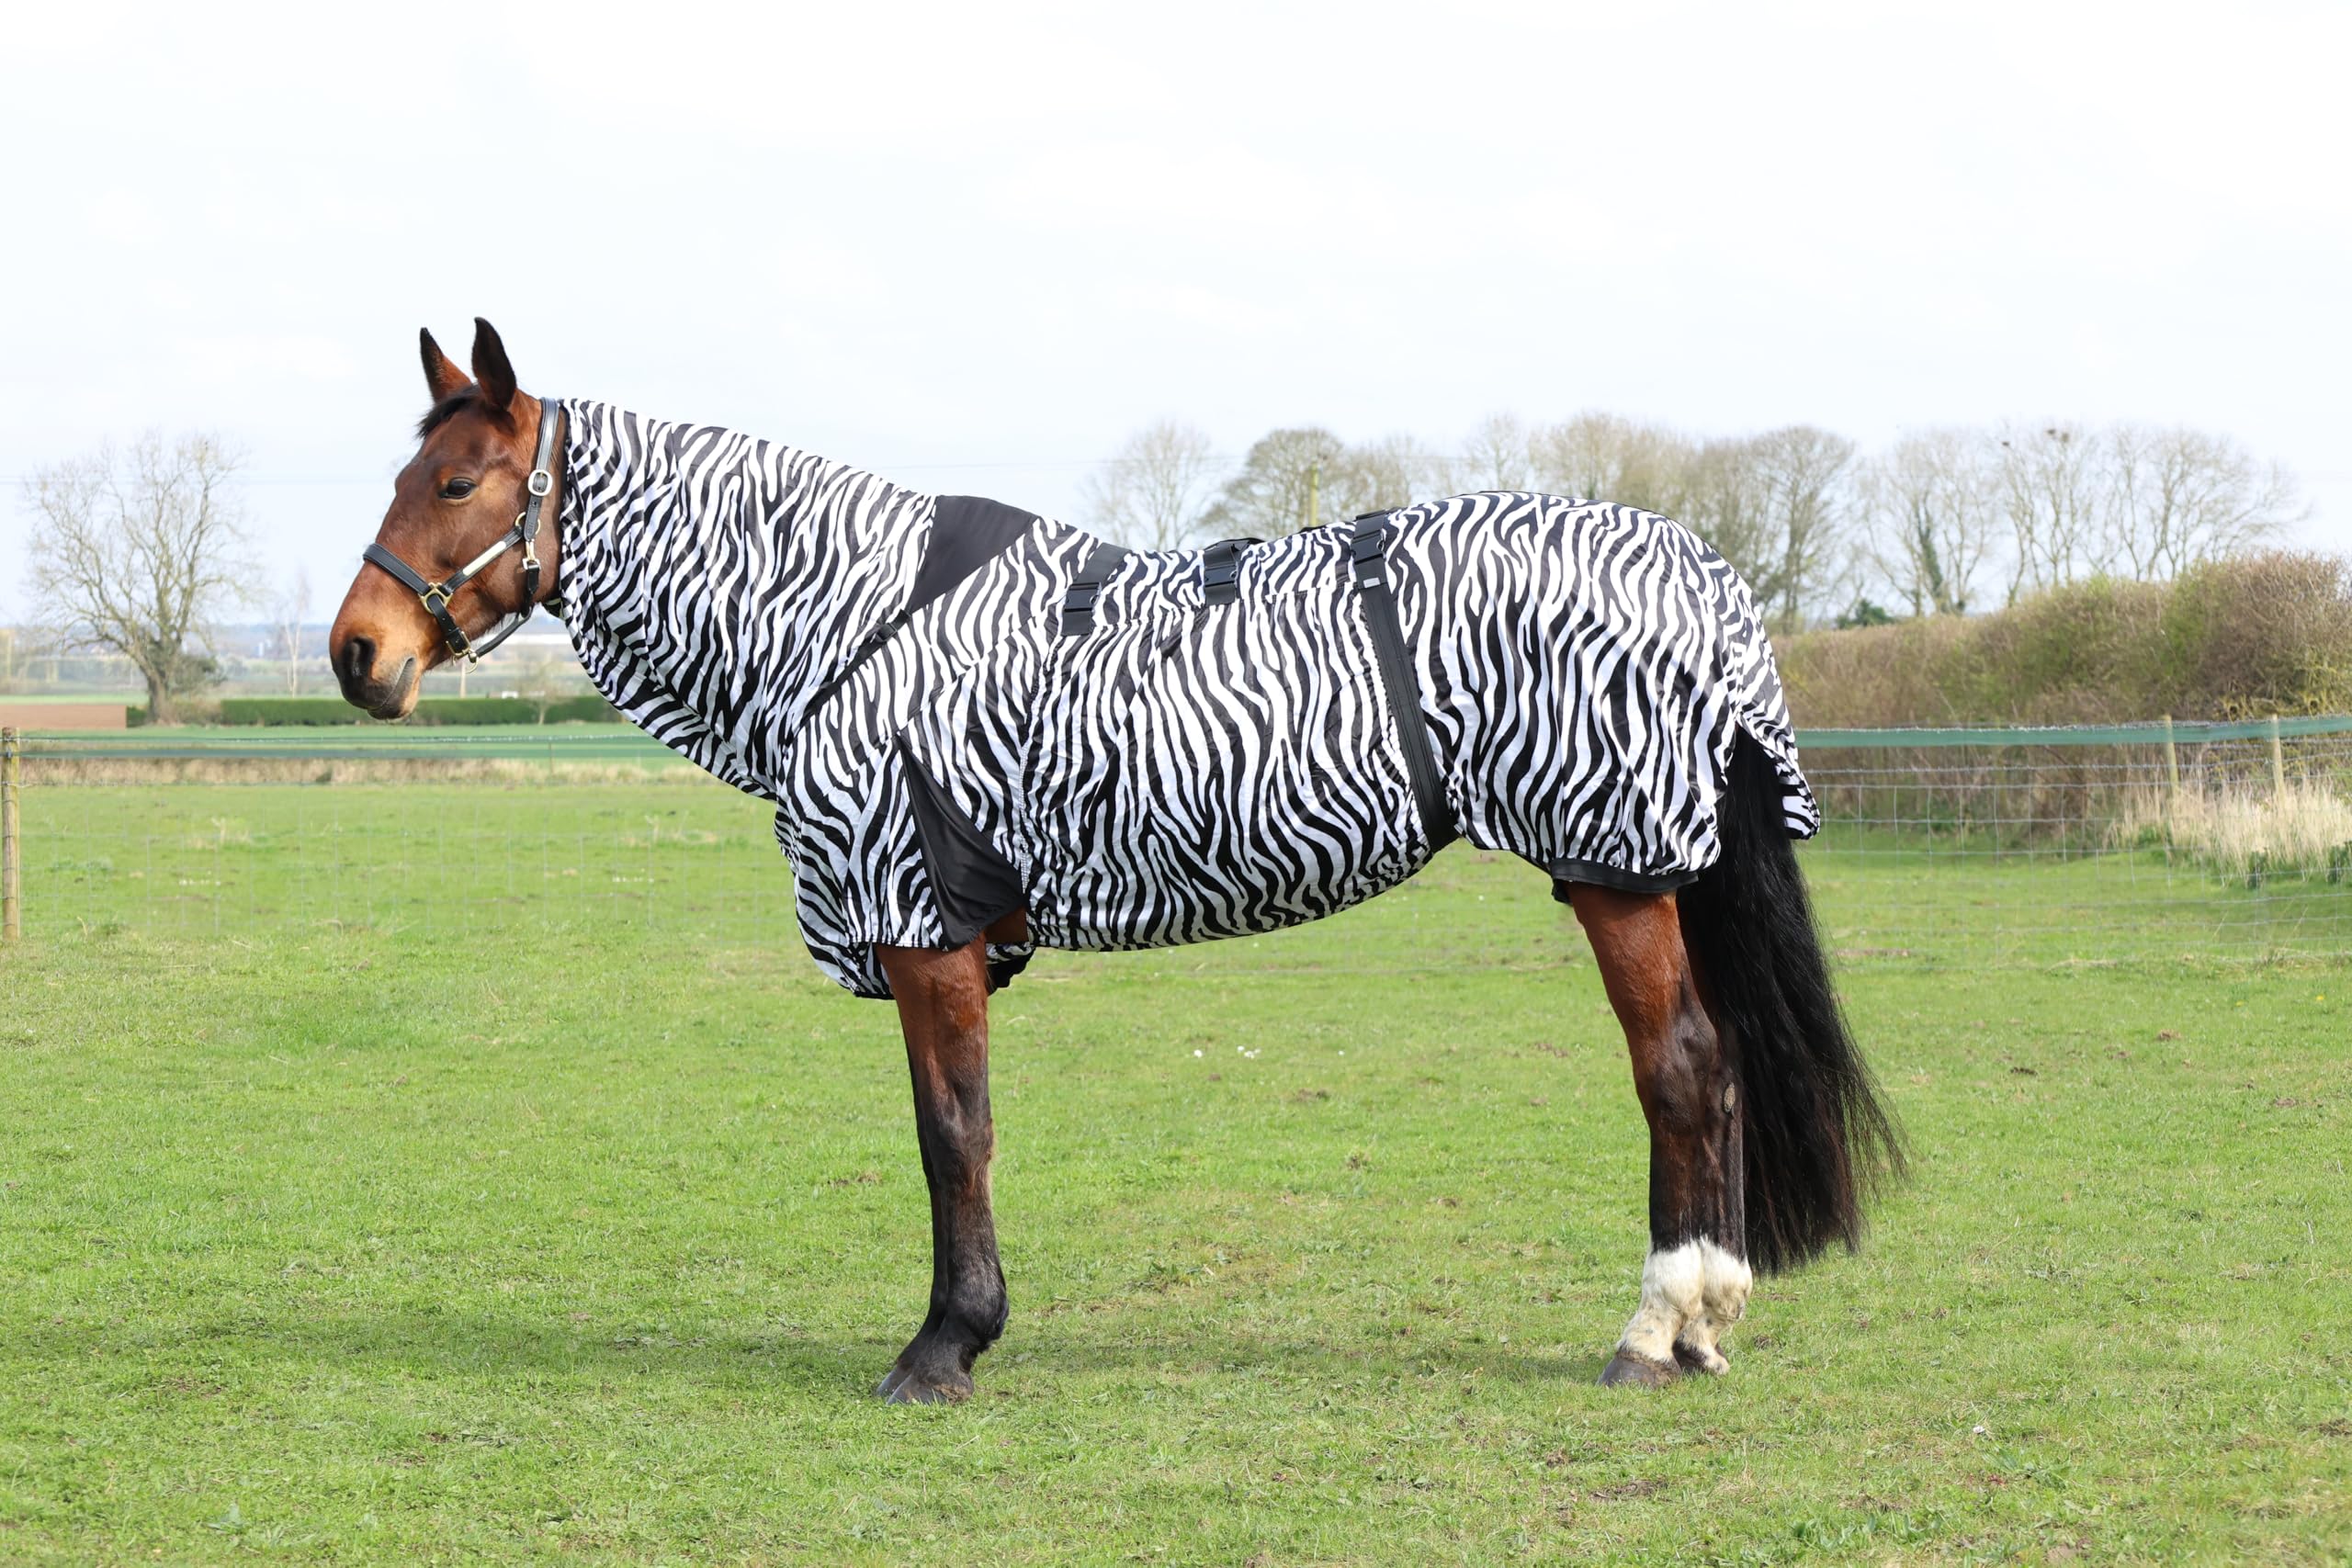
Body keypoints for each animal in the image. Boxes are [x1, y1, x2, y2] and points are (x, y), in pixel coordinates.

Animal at [332, 319, 1899, 1403]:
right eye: (406, 471)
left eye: (459, 480)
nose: (357, 652)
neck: (854, 623)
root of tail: (1697, 569)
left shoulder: (927, 926)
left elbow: (952, 1132)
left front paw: (946, 1344)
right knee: (1704, 1069)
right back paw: (1696, 1322)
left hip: (1616, 872)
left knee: (1682, 1068)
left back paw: (1658, 1323)